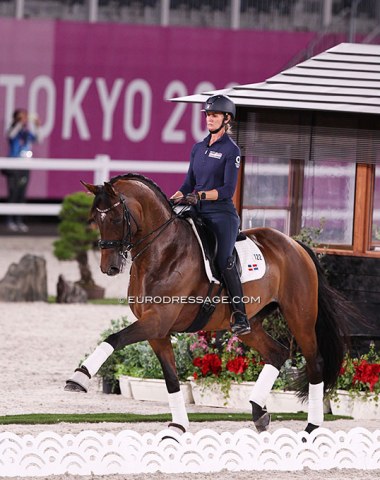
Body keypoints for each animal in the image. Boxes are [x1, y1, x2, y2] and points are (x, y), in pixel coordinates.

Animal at [64, 172, 350, 436]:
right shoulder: (158, 331)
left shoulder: (157, 321)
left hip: (299, 317)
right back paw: (259, 412)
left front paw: (79, 377)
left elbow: (114, 338)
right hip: (251, 324)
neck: (162, 251)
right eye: (95, 219)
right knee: (277, 353)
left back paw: (312, 427)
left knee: (315, 363)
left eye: (114, 218)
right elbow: (171, 379)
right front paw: (178, 426)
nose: (109, 267)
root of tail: (296, 245)